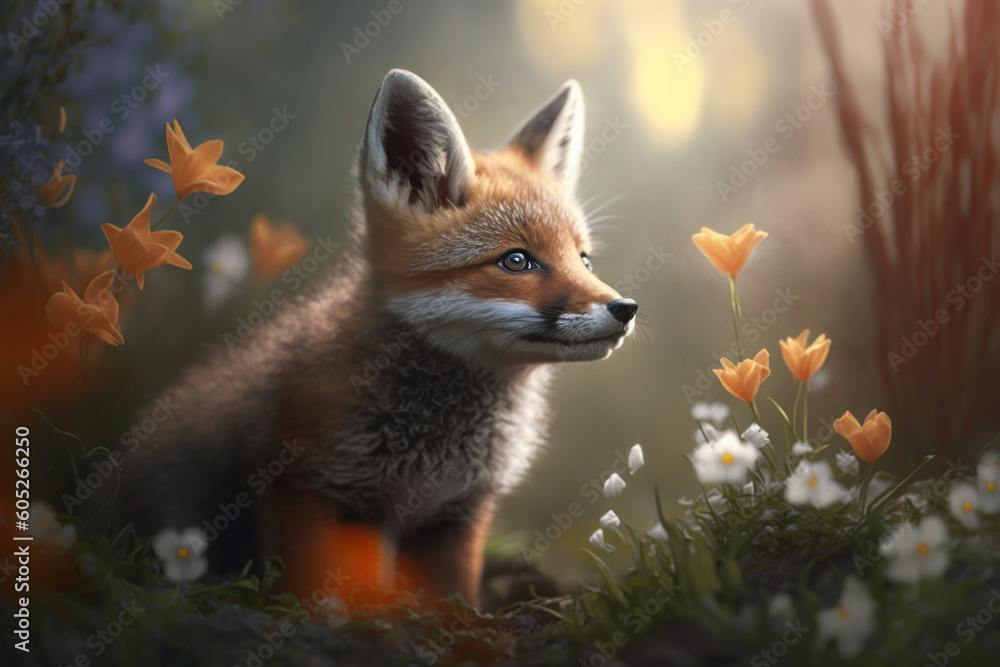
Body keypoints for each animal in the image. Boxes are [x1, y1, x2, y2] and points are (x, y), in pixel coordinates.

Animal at [117, 69, 638, 608]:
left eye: (584, 260)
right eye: (516, 261)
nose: (625, 309)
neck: (431, 447)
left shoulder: (460, 513)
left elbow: (454, 600)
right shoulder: (301, 488)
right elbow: (310, 594)